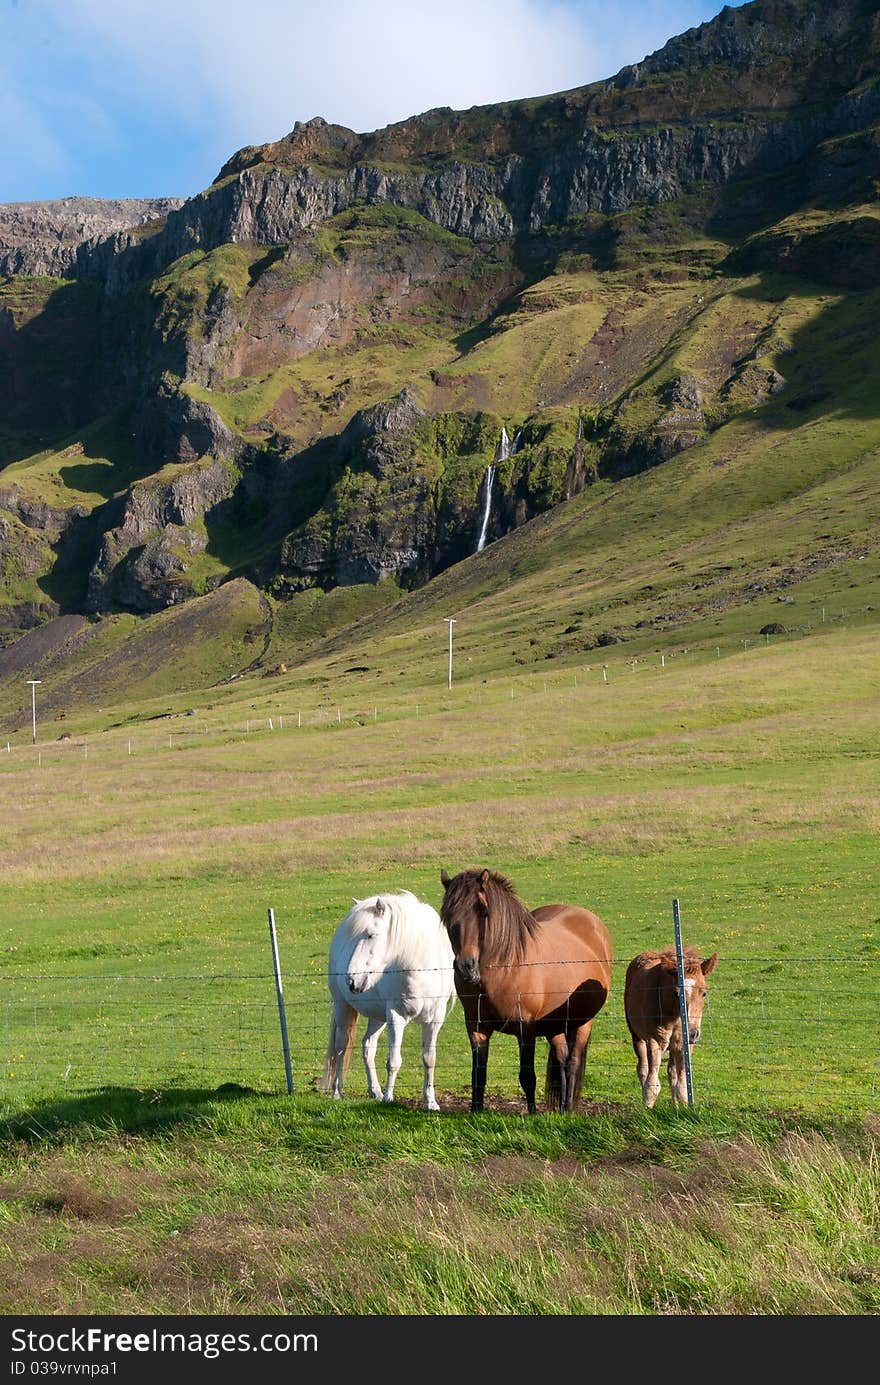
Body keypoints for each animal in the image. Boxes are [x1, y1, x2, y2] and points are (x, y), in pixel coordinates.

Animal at [321, 891, 457, 1108]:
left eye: (371, 934)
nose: (351, 980)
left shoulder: (435, 1020)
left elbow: (429, 1059)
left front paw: (430, 1102)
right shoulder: (396, 1017)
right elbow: (393, 1061)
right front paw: (388, 1098)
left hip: (377, 1017)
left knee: (368, 1046)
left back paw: (374, 1091)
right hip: (342, 1007)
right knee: (341, 1046)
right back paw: (337, 1091)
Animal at [437, 864, 612, 1113]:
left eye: (483, 912)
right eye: (448, 915)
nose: (466, 967)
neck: (506, 966)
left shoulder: (525, 1027)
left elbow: (527, 1076)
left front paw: (532, 1114)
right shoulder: (476, 1027)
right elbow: (478, 1074)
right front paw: (476, 1110)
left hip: (583, 1023)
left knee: (573, 1062)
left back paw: (568, 1108)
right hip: (554, 1026)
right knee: (561, 1059)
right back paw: (560, 1109)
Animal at [623, 947, 720, 1108]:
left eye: (704, 993)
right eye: (676, 993)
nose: (692, 1034)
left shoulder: (683, 1045)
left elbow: (682, 1086)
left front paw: (683, 1109)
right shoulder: (655, 1041)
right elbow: (652, 1085)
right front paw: (647, 1110)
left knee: (671, 1072)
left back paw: (675, 1106)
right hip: (636, 1036)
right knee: (642, 1068)